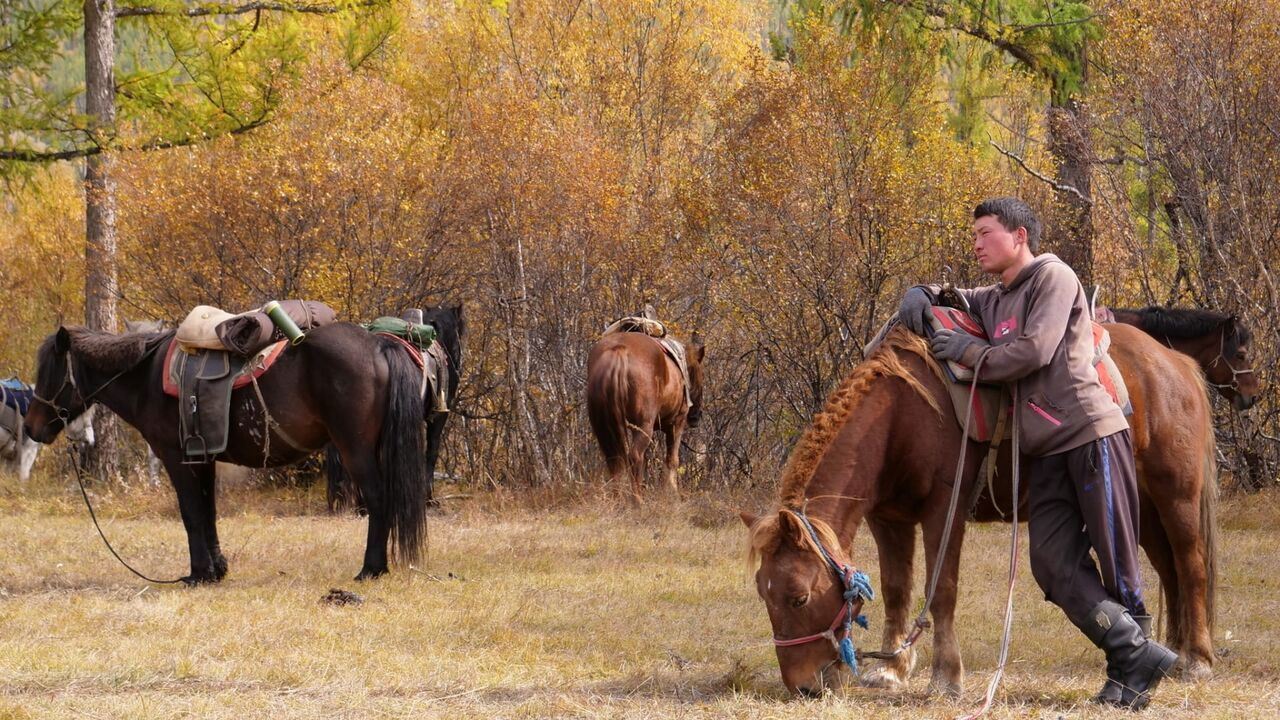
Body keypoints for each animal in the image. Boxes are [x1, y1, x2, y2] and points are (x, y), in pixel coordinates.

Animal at [23, 322, 430, 579]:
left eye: (49, 371)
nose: (30, 427)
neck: (146, 377)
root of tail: (379, 343)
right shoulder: (203, 460)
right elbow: (208, 513)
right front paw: (217, 569)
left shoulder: (176, 459)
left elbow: (190, 513)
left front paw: (198, 573)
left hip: (355, 449)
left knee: (378, 498)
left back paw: (371, 568)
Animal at [586, 330, 706, 499]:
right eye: (700, 376)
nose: (696, 416)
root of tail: (619, 350)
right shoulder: (676, 423)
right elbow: (672, 460)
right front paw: (672, 494)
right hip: (644, 426)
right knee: (635, 456)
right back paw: (637, 500)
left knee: (615, 460)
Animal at [737, 325, 1213, 696]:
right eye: (763, 593)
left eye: (798, 597)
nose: (803, 686)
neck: (900, 416)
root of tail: (1174, 362)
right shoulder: (887, 518)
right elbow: (896, 589)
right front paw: (891, 669)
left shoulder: (943, 511)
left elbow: (942, 590)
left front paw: (945, 676)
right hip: (1145, 512)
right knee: (1169, 572)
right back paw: (1174, 651)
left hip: (1175, 497)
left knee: (1190, 567)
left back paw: (1197, 659)